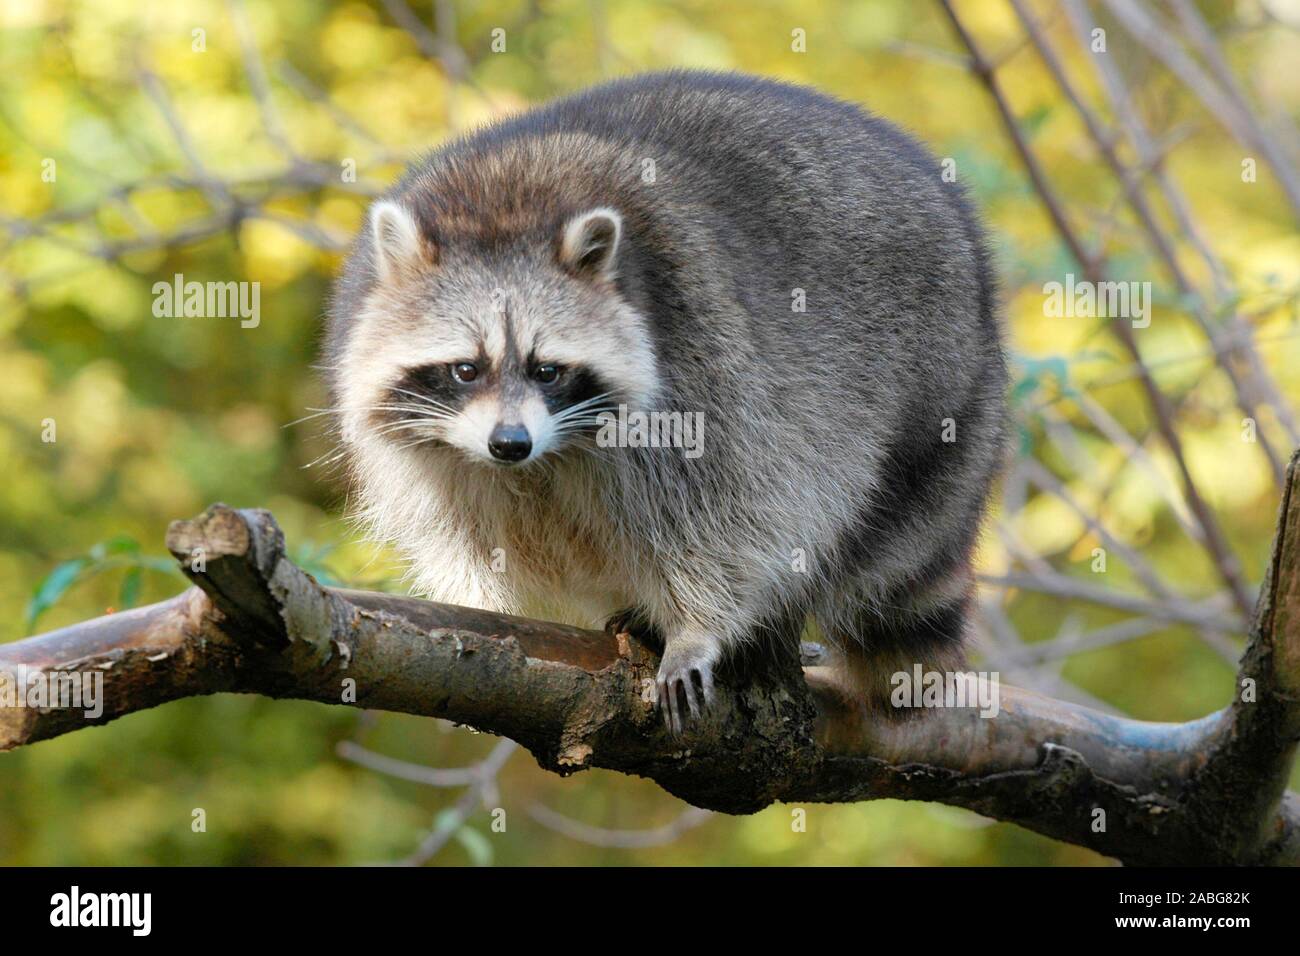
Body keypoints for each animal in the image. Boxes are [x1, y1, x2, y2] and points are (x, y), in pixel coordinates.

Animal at [322, 72, 1003, 733]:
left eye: (548, 370)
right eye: (466, 369)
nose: (509, 445)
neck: (502, 206)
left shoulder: (703, 368)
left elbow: (733, 511)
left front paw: (695, 629)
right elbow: (457, 526)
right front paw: (472, 604)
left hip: (935, 387)